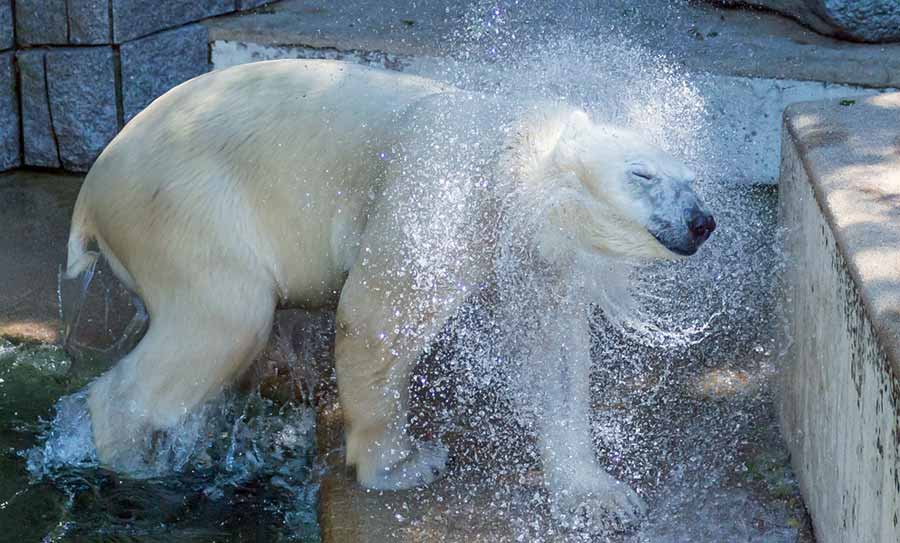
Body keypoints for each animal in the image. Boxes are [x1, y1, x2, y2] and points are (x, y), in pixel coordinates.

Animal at [65, 60, 716, 532]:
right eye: (642, 174)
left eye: (692, 179)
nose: (703, 222)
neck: (510, 154)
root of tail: (92, 192)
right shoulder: (440, 197)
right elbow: (376, 313)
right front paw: (403, 463)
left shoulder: (532, 250)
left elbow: (551, 351)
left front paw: (599, 496)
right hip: (185, 207)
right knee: (227, 318)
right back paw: (134, 463)